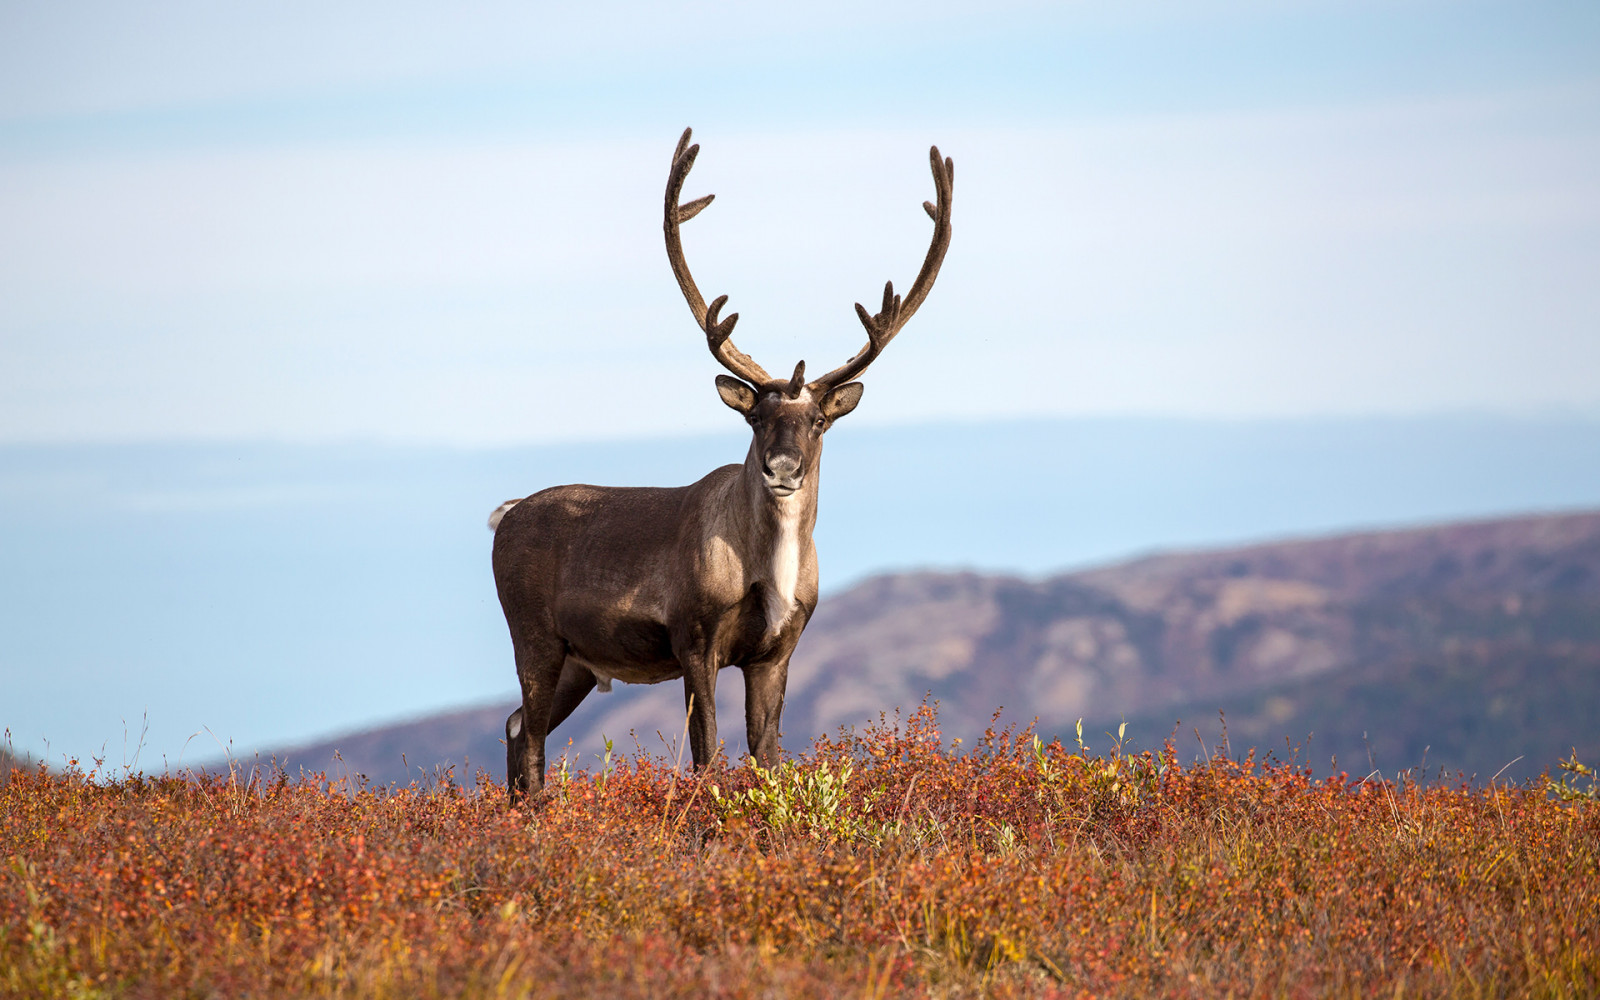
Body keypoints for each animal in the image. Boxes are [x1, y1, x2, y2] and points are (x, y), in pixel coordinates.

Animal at [489, 128, 947, 800]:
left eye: (818, 421)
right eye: (755, 418)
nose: (781, 469)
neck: (771, 568)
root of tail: (507, 515)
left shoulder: (776, 653)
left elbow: (768, 758)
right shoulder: (694, 639)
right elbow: (707, 755)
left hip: (580, 661)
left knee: (518, 724)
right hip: (536, 637)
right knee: (530, 735)